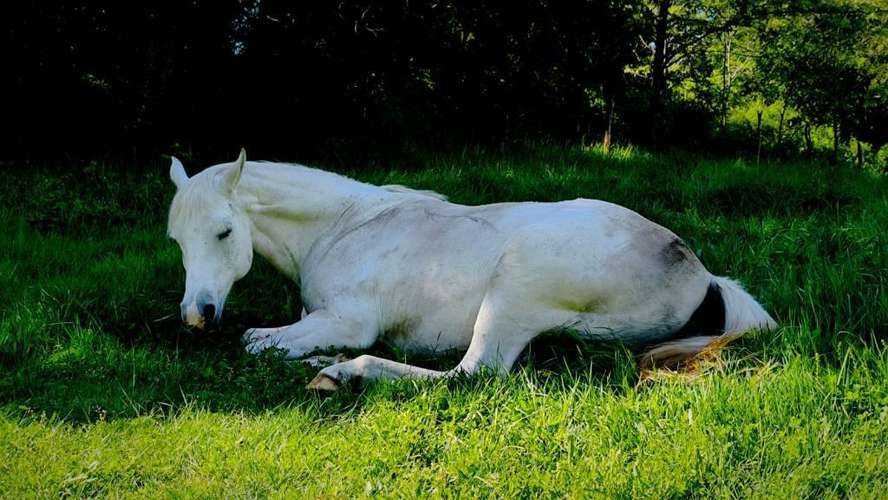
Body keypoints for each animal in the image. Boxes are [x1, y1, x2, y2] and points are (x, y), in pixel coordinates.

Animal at [167, 149, 776, 390]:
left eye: (223, 232)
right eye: (177, 240)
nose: (197, 316)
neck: (342, 227)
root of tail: (700, 274)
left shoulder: (348, 321)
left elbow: (254, 340)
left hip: (512, 292)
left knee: (471, 374)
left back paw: (344, 373)